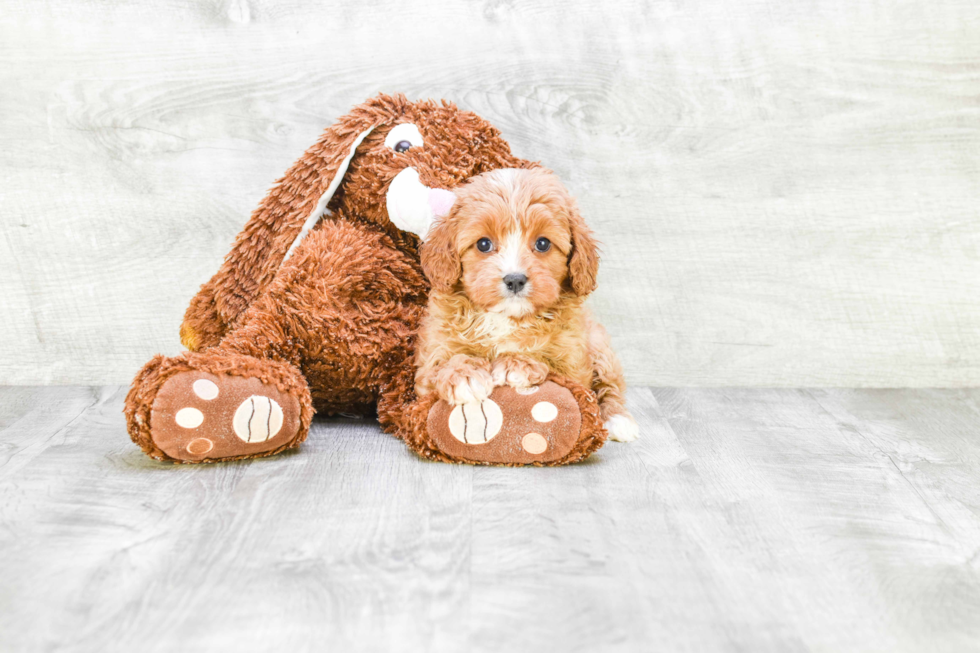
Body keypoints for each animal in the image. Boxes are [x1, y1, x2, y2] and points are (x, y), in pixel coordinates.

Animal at [418, 168, 640, 444]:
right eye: (483, 244)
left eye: (543, 243)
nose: (515, 279)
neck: (507, 318)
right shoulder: (430, 360)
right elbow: (443, 365)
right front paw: (463, 375)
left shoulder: (574, 364)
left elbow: (550, 363)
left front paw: (516, 364)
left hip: (600, 348)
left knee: (611, 386)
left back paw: (618, 420)